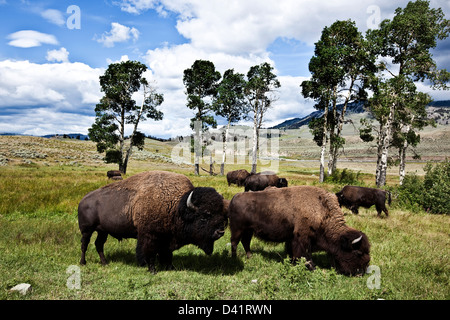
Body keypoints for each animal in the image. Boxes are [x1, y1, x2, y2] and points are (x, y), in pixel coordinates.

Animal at [77, 170, 229, 272]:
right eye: (204, 216)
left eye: (222, 215)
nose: (220, 232)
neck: (177, 207)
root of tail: (83, 200)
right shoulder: (149, 236)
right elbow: (149, 253)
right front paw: (152, 270)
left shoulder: (166, 239)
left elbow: (167, 254)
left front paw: (170, 267)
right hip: (87, 230)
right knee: (84, 245)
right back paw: (83, 262)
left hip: (103, 231)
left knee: (99, 245)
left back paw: (105, 263)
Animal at [229, 186, 370, 276]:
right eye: (358, 252)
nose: (362, 272)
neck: (323, 213)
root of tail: (234, 197)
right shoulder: (302, 238)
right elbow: (305, 254)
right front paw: (312, 268)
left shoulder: (293, 239)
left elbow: (294, 252)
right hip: (237, 229)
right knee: (234, 243)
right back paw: (234, 259)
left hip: (248, 231)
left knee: (245, 242)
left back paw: (250, 256)